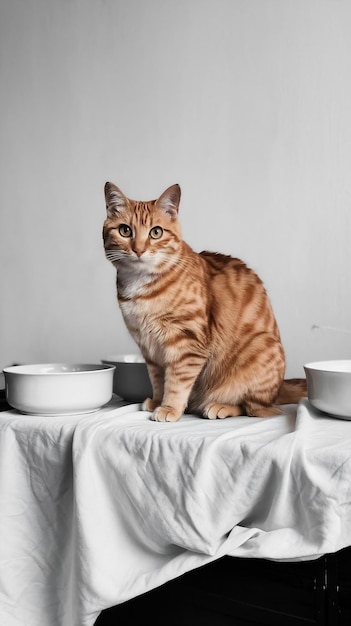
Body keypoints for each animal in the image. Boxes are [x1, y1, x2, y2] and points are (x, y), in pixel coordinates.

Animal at [102, 183, 306, 422]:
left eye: (156, 232)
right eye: (125, 231)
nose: (139, 249)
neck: (141, 285)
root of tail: (279, 388)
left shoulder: (187, 343)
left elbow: (177, 382)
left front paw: (170, 408)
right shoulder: (149, 349)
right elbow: (158, 380)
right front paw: (157, 401)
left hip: (262, 350)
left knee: (252, 408)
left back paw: (219, 406)